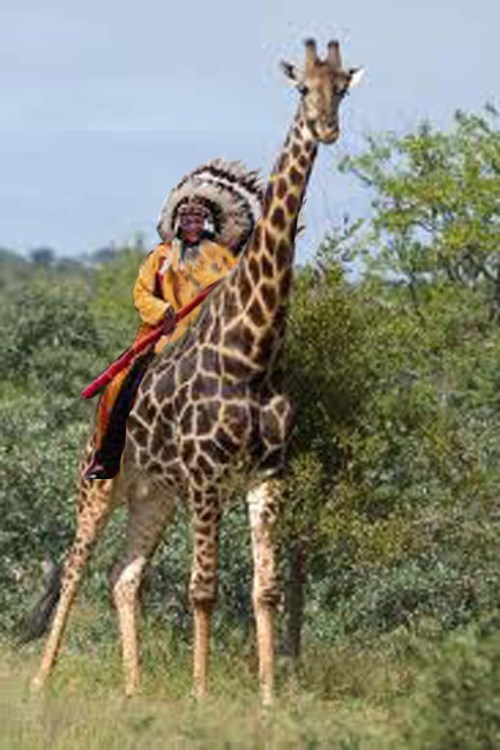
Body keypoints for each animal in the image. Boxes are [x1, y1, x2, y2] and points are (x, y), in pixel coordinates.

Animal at [32, 39, 362, 705]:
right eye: (301, 88)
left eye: (342, 86)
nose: (327, 128)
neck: (254, 354)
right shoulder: (208, 477)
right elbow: (203, 590)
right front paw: (203, 694)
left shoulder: (266, 476)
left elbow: (267, 591)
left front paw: (268, 699)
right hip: (101, 481)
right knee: (76, 566)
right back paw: (40, 680)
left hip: (154, 494)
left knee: (124, 573)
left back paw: (132, 689)